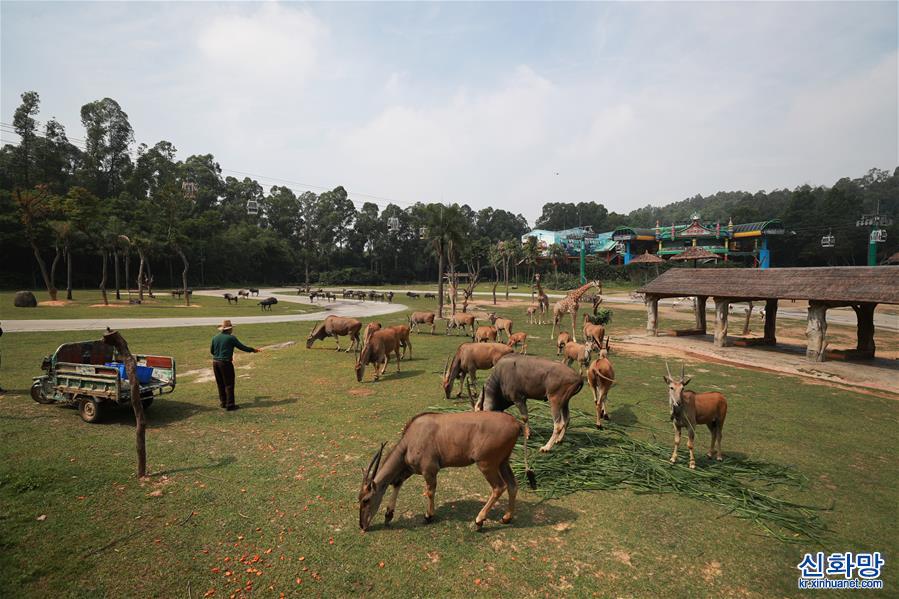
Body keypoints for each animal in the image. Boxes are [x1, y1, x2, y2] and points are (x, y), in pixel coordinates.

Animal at [360, 410, 520, 532]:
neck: (409, 441)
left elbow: (430, 491)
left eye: (366, 500)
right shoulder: (409, 470)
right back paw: (507, 517)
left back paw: (479, 520)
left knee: (499, 487)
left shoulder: (429, 470)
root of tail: (516, 423)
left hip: (486, 464)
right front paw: (388, 515)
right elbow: (397, 483)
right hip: (503, 462)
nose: (362, 525)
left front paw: (428, 516)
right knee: (512, 485)